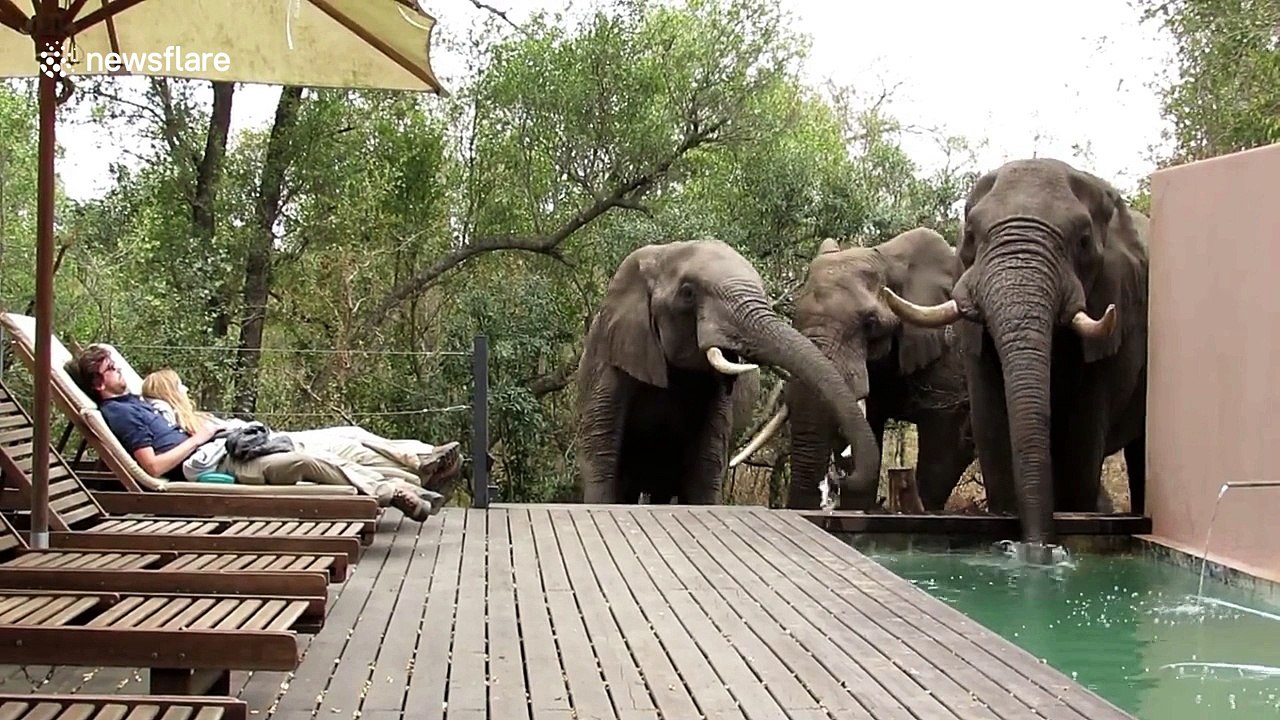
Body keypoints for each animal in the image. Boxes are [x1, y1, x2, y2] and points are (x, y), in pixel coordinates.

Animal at [882, 158, 1148, 557]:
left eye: (1084, 241)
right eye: (971, 236)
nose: (1038, 548)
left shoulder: (1118, 302)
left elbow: (1081, 441)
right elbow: (992, 427)